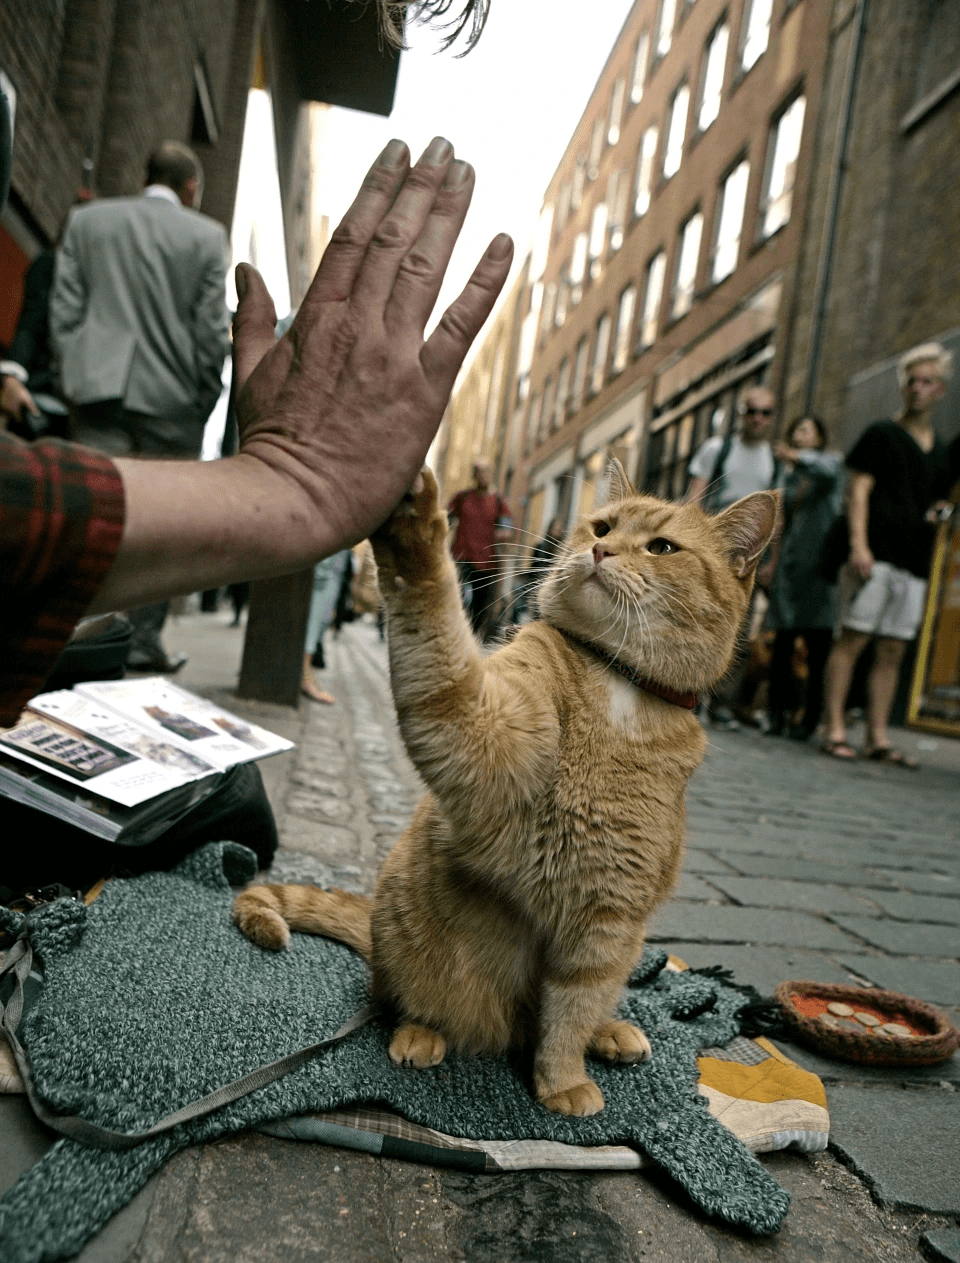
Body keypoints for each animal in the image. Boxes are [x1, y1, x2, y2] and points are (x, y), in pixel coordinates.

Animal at [234, 462, 778, 1116]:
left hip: (625, 948)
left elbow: (570, 1011)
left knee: (587, 1009)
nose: (600, 550)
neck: (619, 687)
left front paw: (562, 1077)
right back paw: (421, 1033)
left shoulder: (607, 921)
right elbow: (434, 624)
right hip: (410, 944)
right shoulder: (478, 734)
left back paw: (610, 1032)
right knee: (401, 998)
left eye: (663, 548)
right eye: (602, 527)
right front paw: (417, 531)